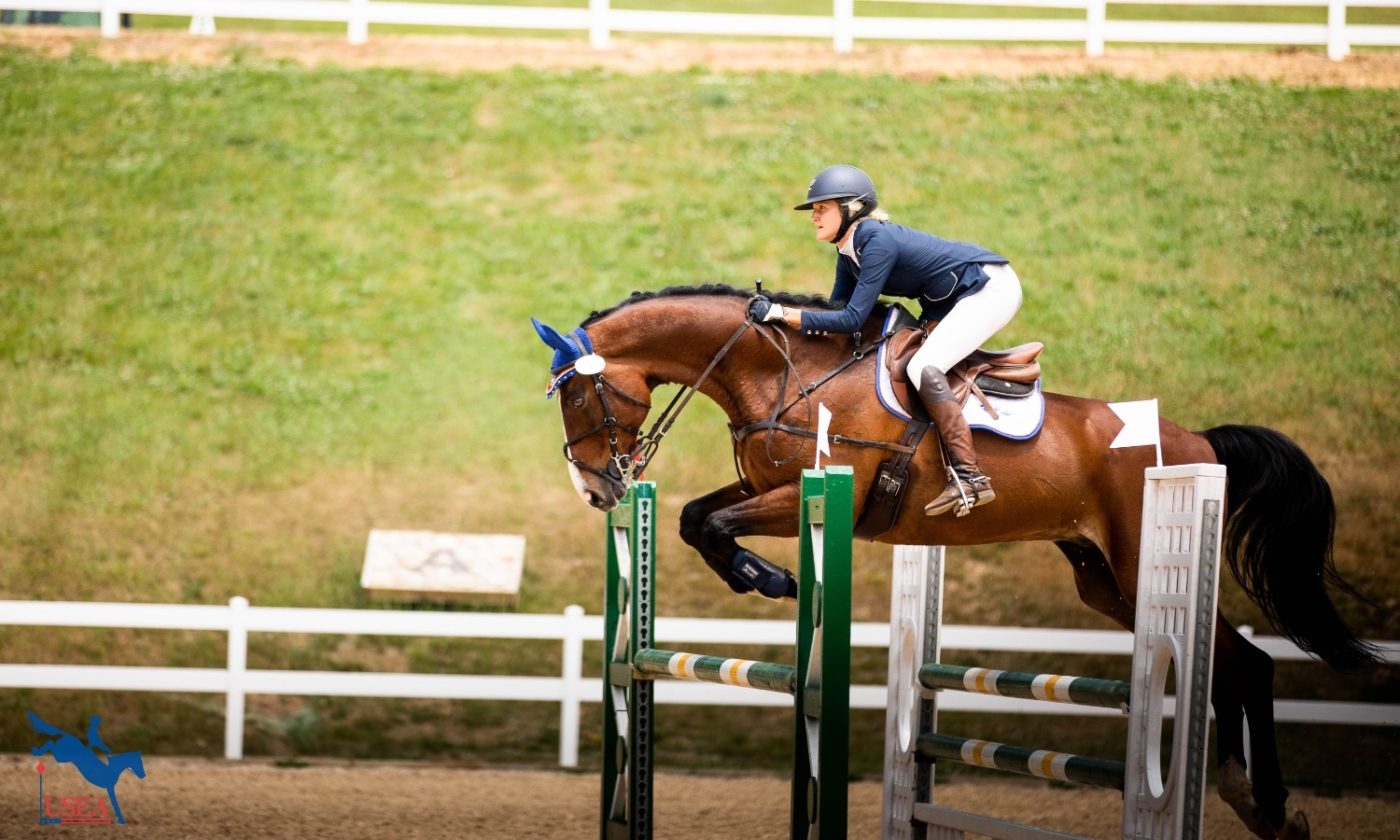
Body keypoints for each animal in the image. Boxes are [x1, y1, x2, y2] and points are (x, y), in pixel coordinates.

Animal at [532, 284, 1377, 840]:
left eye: (575, 399)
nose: (597, 489)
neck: (777, 368)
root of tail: (1198, 438)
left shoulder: (815, 495)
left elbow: (710, 524)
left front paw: (775, 578)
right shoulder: (762, 485)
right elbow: (692, 517)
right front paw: (768, 577)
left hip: (1143, 560)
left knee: (1244, 662)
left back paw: (1267, 803)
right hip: (1103, 579)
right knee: (1237, 664)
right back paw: (1255, 804)